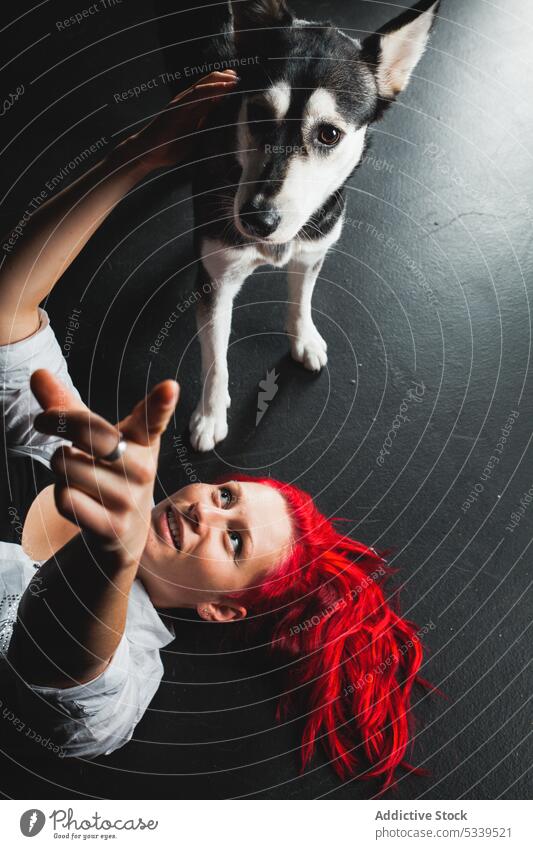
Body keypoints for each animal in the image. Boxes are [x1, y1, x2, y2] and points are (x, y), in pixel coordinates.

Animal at [189, 0, 438, 450]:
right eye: (257, 114)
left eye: (329, 134)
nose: (257, 219)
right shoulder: (216, 281)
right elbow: (216, 356)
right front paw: (211, 415)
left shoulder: (312, 253)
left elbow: (301, 299)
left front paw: (303, 338)